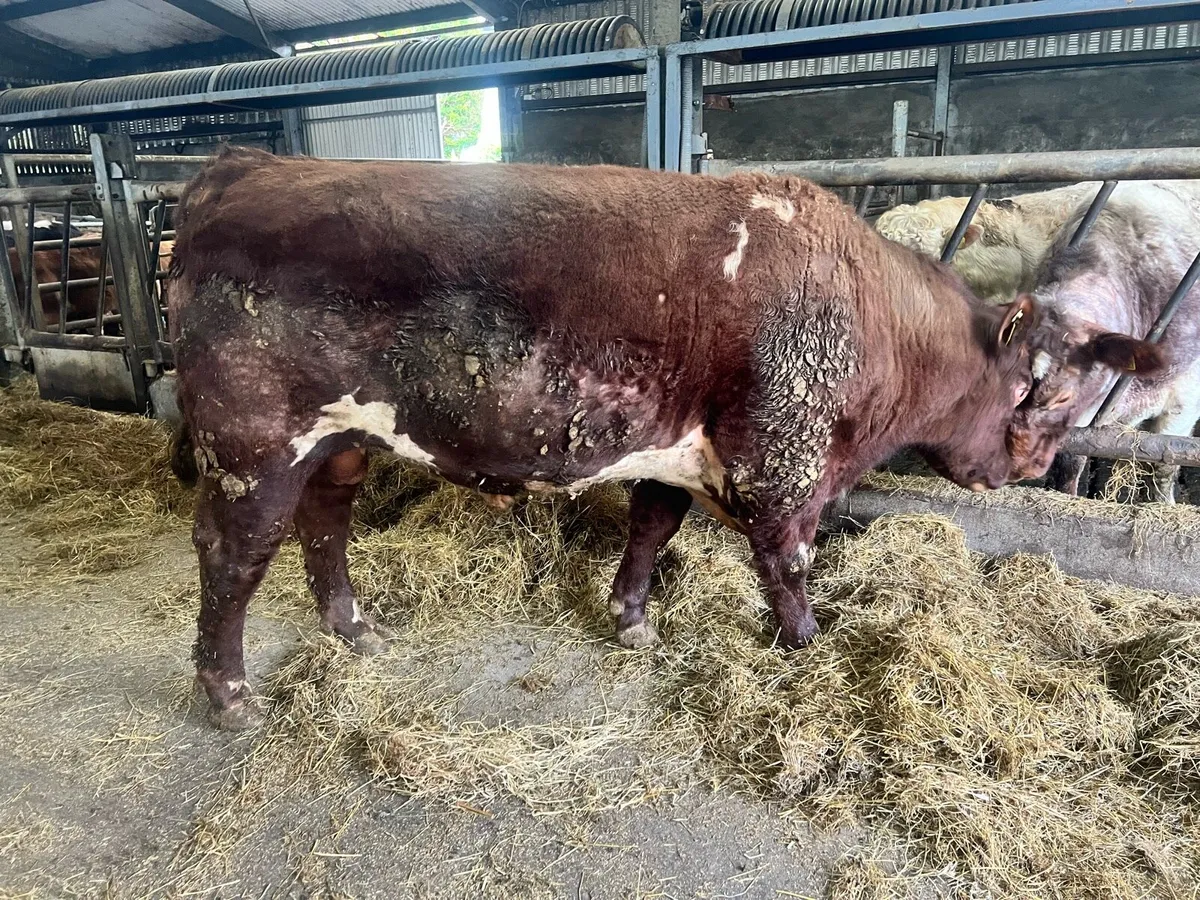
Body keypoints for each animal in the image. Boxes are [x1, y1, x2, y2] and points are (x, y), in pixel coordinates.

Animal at [167, 147, 1049, 730]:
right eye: (1024, 387)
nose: (1033, 461)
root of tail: (248, 164)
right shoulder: (781, 466)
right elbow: (788, 564)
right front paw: (806, 642)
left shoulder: (677, 450)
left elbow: (652, 528)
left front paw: (631, 618)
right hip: (252, 446)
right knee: (234, 555)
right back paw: (229, 695)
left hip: (338, 440)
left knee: (326, 525)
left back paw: (353, 630)